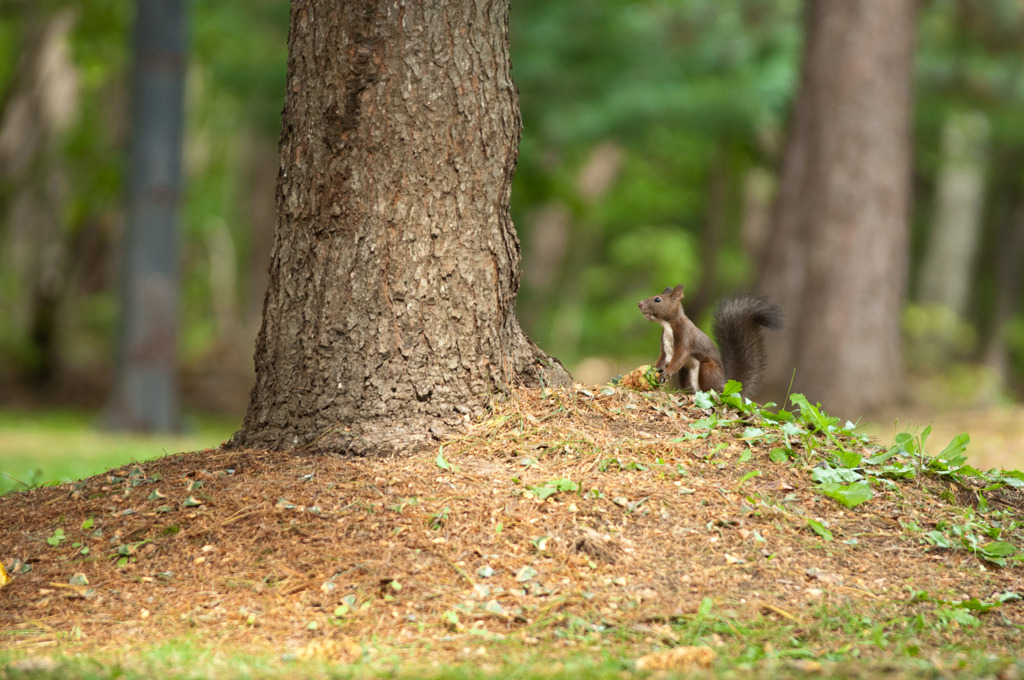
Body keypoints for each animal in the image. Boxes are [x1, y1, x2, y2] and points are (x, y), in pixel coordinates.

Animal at [638, 282, 782, 399]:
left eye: (657, 299)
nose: (640, 304)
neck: (668, 325)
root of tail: (727, 387)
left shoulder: (686, 336)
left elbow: (680, 356)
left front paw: (666, 372)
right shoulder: (666, 344)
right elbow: (664, 357)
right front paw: (655, 369)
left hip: (708, 369)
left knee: (713, 389)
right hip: (686, 372)